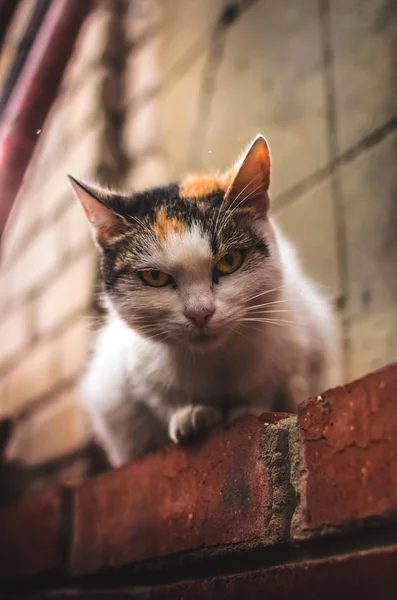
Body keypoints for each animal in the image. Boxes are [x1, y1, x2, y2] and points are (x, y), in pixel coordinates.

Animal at [69, 137, 334, 468]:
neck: (214, 362)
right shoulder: (132, 375)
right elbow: (160, 401)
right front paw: (191, 414)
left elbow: (280, 386)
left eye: (229, 261)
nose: (200, 313)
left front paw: (248, 408)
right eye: (155, 277)